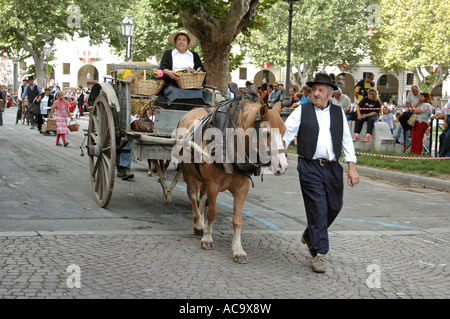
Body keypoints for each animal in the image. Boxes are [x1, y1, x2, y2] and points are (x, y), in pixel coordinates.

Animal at [176, 101, 288, 264]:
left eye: (284, 132)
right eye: (266, 133)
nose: (283, 166)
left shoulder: (242, 189)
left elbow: (237, 220)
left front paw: (238, 249)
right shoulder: (213, 185)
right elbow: (212, 213)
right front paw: (207, 238)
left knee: (201, 198)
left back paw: (202, 223)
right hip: (189, 173)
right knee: (192, 196)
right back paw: (198, 224)